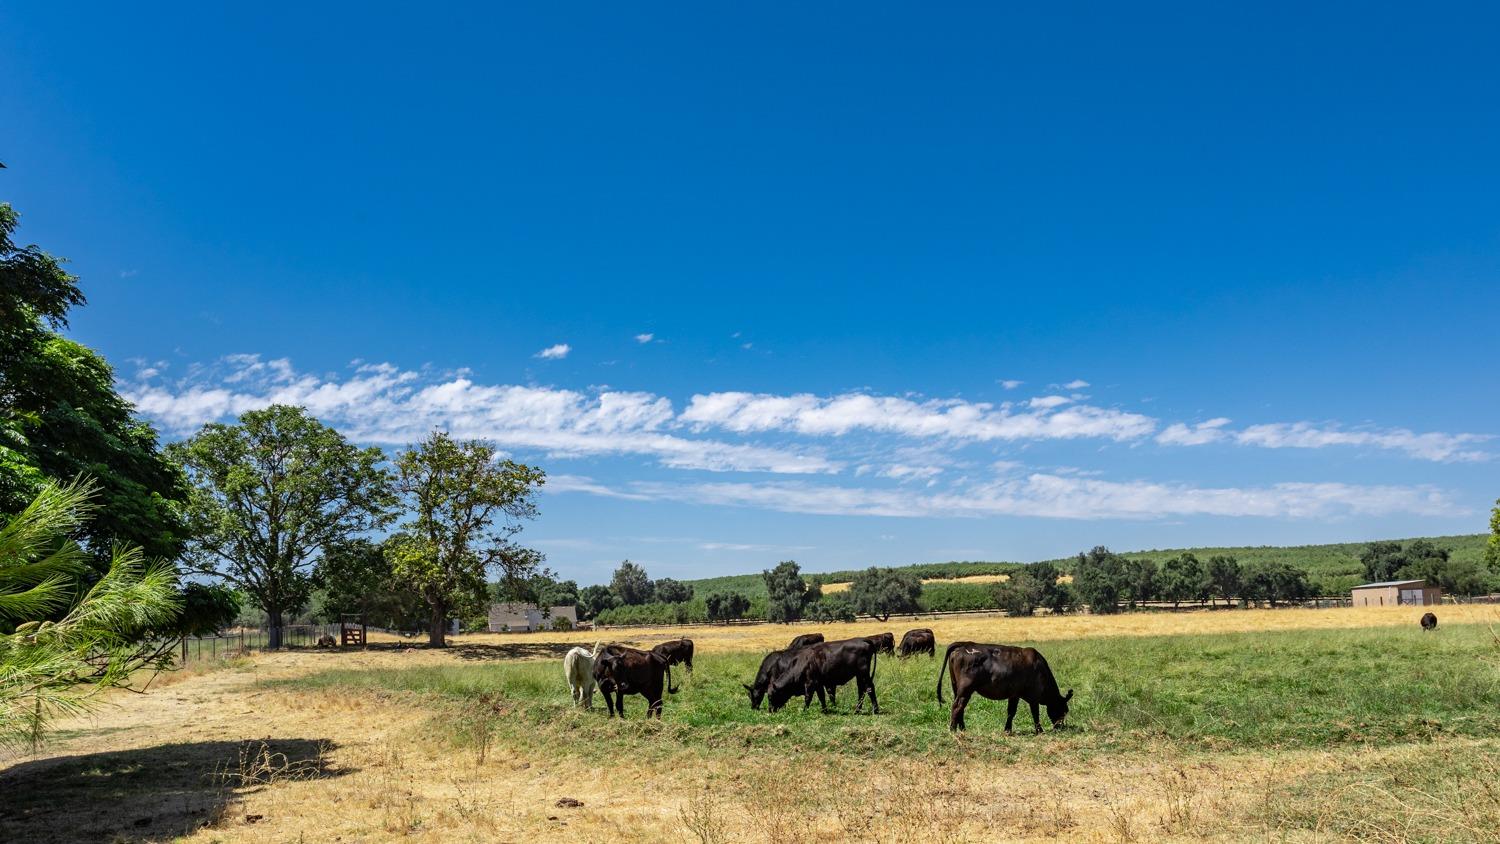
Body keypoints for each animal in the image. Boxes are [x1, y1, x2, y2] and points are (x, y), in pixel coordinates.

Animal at [930, 641, 1074, 734]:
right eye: (1063, 710)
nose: (1060, 727)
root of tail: (964, 645)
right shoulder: (1034, 697)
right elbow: (1035, 714)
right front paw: (1039, 730)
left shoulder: (1014, 694)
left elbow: (1011, 712)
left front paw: (1007, 730)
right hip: (966, 688)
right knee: (957, 706)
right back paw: (953, 730)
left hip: (957, 688)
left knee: (960, 707)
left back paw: (963, 729)